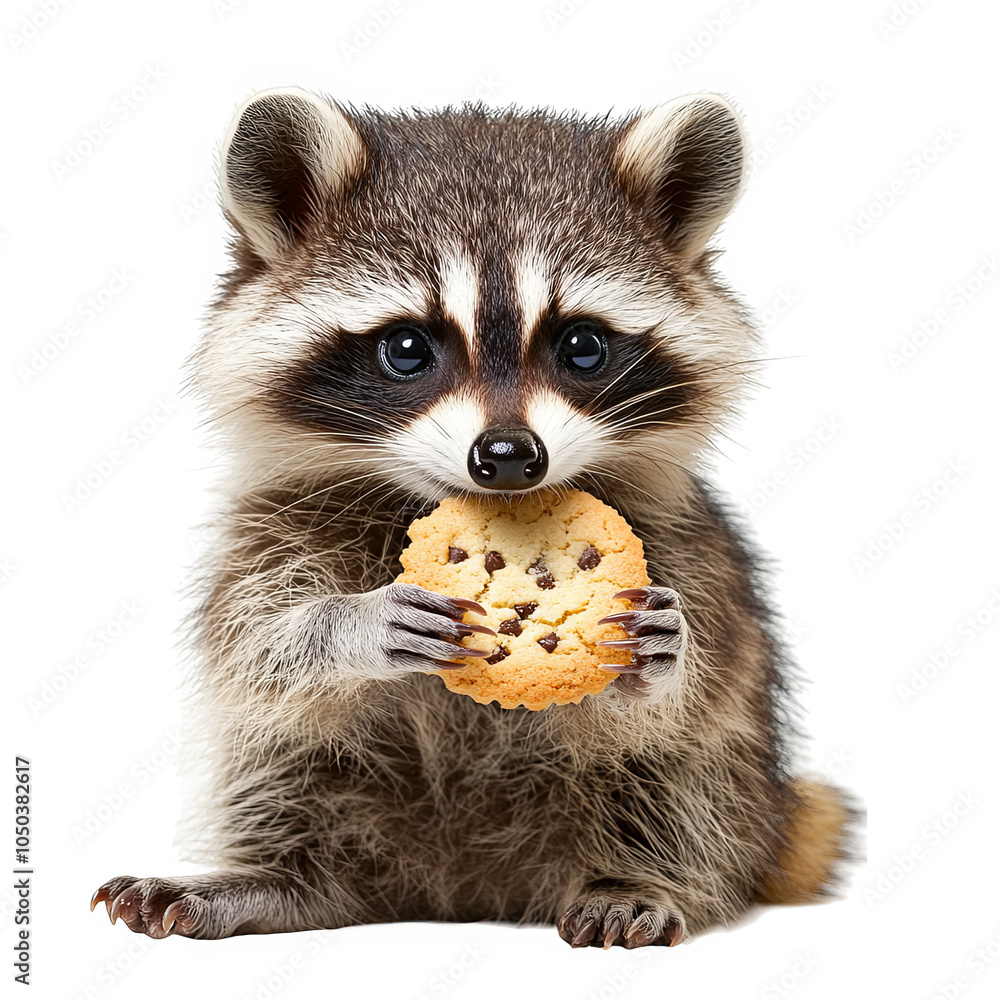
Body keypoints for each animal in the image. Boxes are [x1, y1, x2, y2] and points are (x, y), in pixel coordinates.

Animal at [91, 88, 856, 947]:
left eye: (582, 346)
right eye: (405, 348)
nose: (511, 455)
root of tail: (464, 887)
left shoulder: (691, 549)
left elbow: (687, 698)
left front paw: (665, 659)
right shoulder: (270, 528)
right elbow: (257, 647)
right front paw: (349, 621)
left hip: (737, 778)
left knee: (684, 788)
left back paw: (641, 876)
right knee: (283, 772)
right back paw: (272, 880)